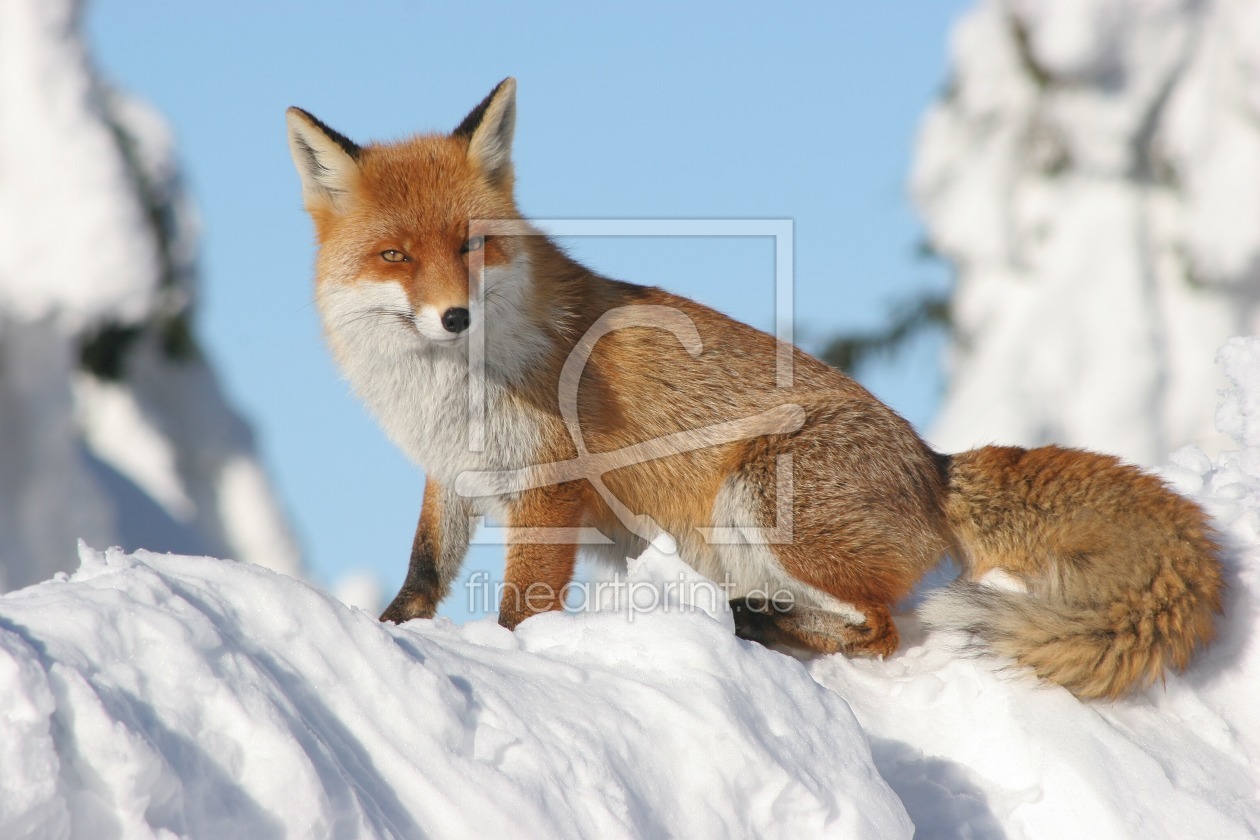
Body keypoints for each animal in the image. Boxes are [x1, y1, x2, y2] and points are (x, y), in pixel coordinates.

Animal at [283, 78, 1219, 700]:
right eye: (396, 256)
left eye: (473, 245)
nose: (454, 317)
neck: (454, 391)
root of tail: (935, 462)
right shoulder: (453, 470)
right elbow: (423, 570)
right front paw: (393, 632)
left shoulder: (550, 487)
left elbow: (521, 608)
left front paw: (509, 656)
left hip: (761, 494)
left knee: (882, 631)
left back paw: (759, 624)